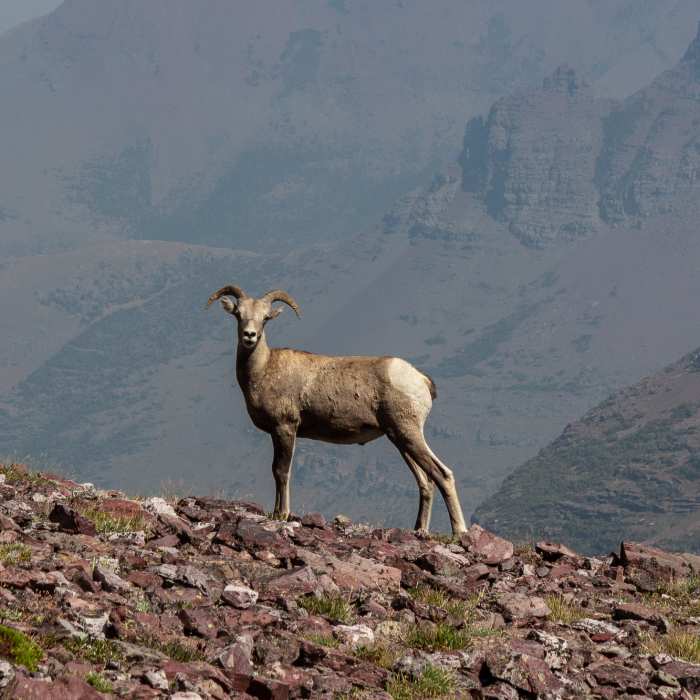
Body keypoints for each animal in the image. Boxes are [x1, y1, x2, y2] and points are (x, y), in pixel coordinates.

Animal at [207, 285, 467, 535]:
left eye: (264, 318)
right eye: (239, 315)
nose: (249, 336)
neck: (263, 370)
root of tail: (421, 379)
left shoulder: (285, 429)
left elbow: (281, 471)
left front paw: (282, 514)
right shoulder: (276, 433)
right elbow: (275, 471)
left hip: (408, 434)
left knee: (443, 475)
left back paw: (459, 532)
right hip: (400, 439)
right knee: (426, 481)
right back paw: (419, 529)